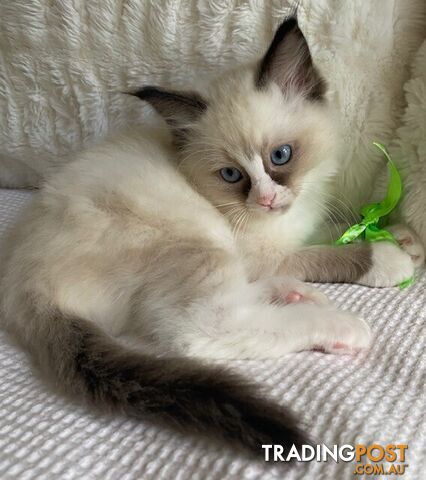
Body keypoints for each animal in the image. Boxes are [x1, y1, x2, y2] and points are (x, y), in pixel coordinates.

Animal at [0, 17, 422, 454]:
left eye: (281, 156)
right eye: (232, 175)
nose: (265, 200)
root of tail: (21, 290)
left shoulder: (296, 223)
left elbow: (330, 232)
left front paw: (398, 235)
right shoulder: (262, 252)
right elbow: (326, 255)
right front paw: (388, 257)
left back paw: (292, 295)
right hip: (197, 241)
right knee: (204, 329)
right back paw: (340, 326)